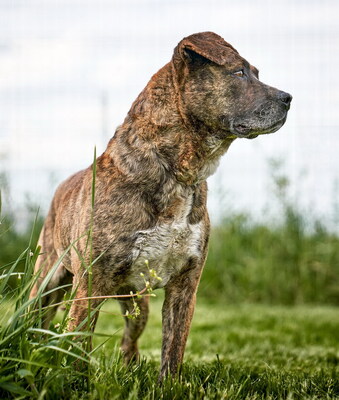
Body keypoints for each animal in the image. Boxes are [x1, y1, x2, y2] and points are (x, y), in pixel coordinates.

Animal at [30, 31, 294, 378]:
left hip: (135, 302)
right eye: (239, 72)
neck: (178, 172)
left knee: (129, 340)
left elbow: (173, 346)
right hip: (46, 283)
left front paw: (168, 383)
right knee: (38, 322)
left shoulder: (185, 283)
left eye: (257, 73)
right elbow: (78, 343)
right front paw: (75, 381)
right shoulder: (90, 284)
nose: (288, 98)